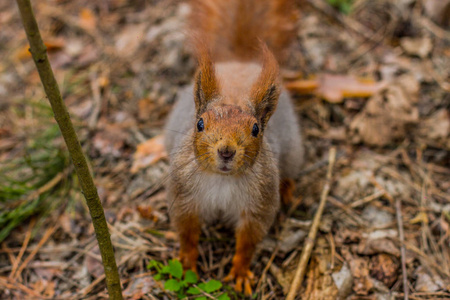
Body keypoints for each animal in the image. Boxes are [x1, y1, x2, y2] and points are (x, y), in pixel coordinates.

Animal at [163, 0, 304, 296]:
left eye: (256, 129)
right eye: (200, 124)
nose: (226, 151)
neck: (222, 180)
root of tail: (240, 62)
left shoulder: (259, 203)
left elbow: (249, 240)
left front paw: (240, 271)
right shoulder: (183, 195)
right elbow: (187, 233)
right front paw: (187, 262)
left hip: (294, 151)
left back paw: (287, 187)